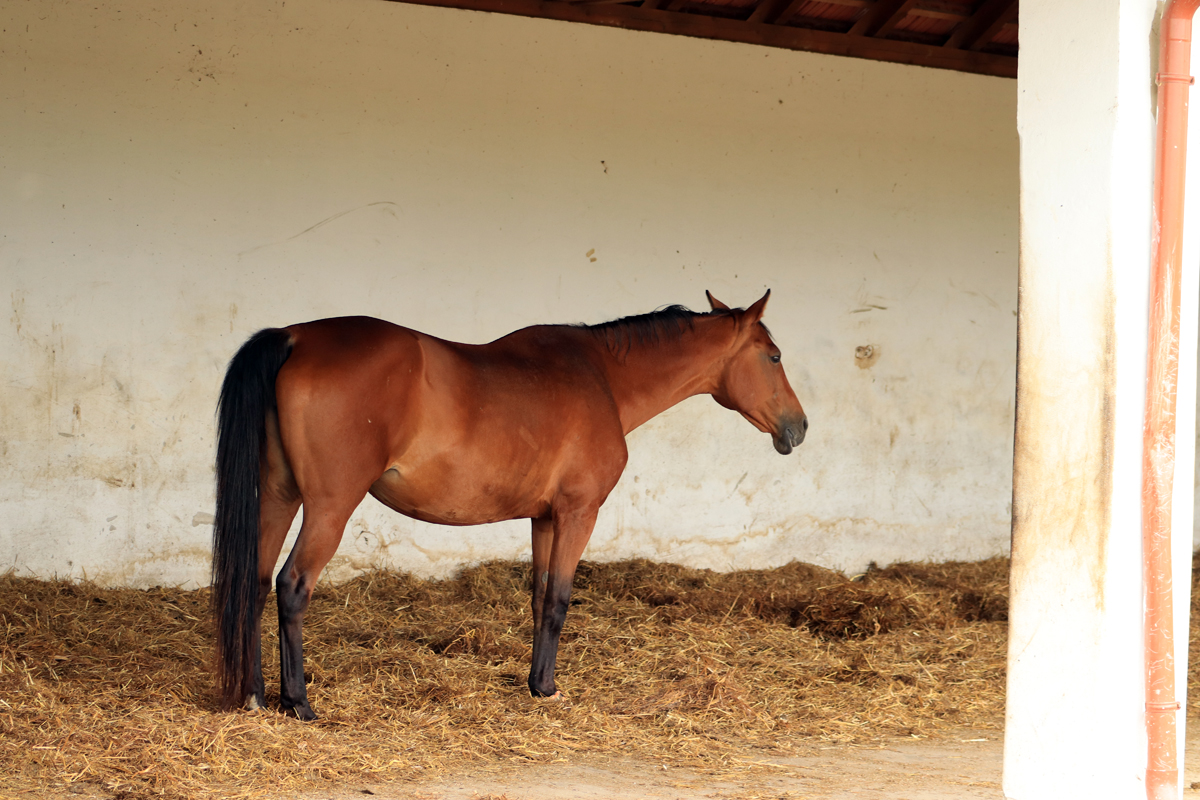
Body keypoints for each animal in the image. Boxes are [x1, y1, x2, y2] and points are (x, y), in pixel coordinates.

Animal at [208, 287, 806, 719]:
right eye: (774, 356)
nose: (798, 428)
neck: (602, 377)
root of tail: (295, 337)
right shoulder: (578, 513)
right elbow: (560, 599)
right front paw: (549, 688)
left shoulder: (544, 518)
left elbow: (540, 598)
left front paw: (535, 683)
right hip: (329, 507)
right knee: (291, 586)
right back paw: (298, 703)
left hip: (280, 498)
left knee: (254, 585)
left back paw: (254, 696)